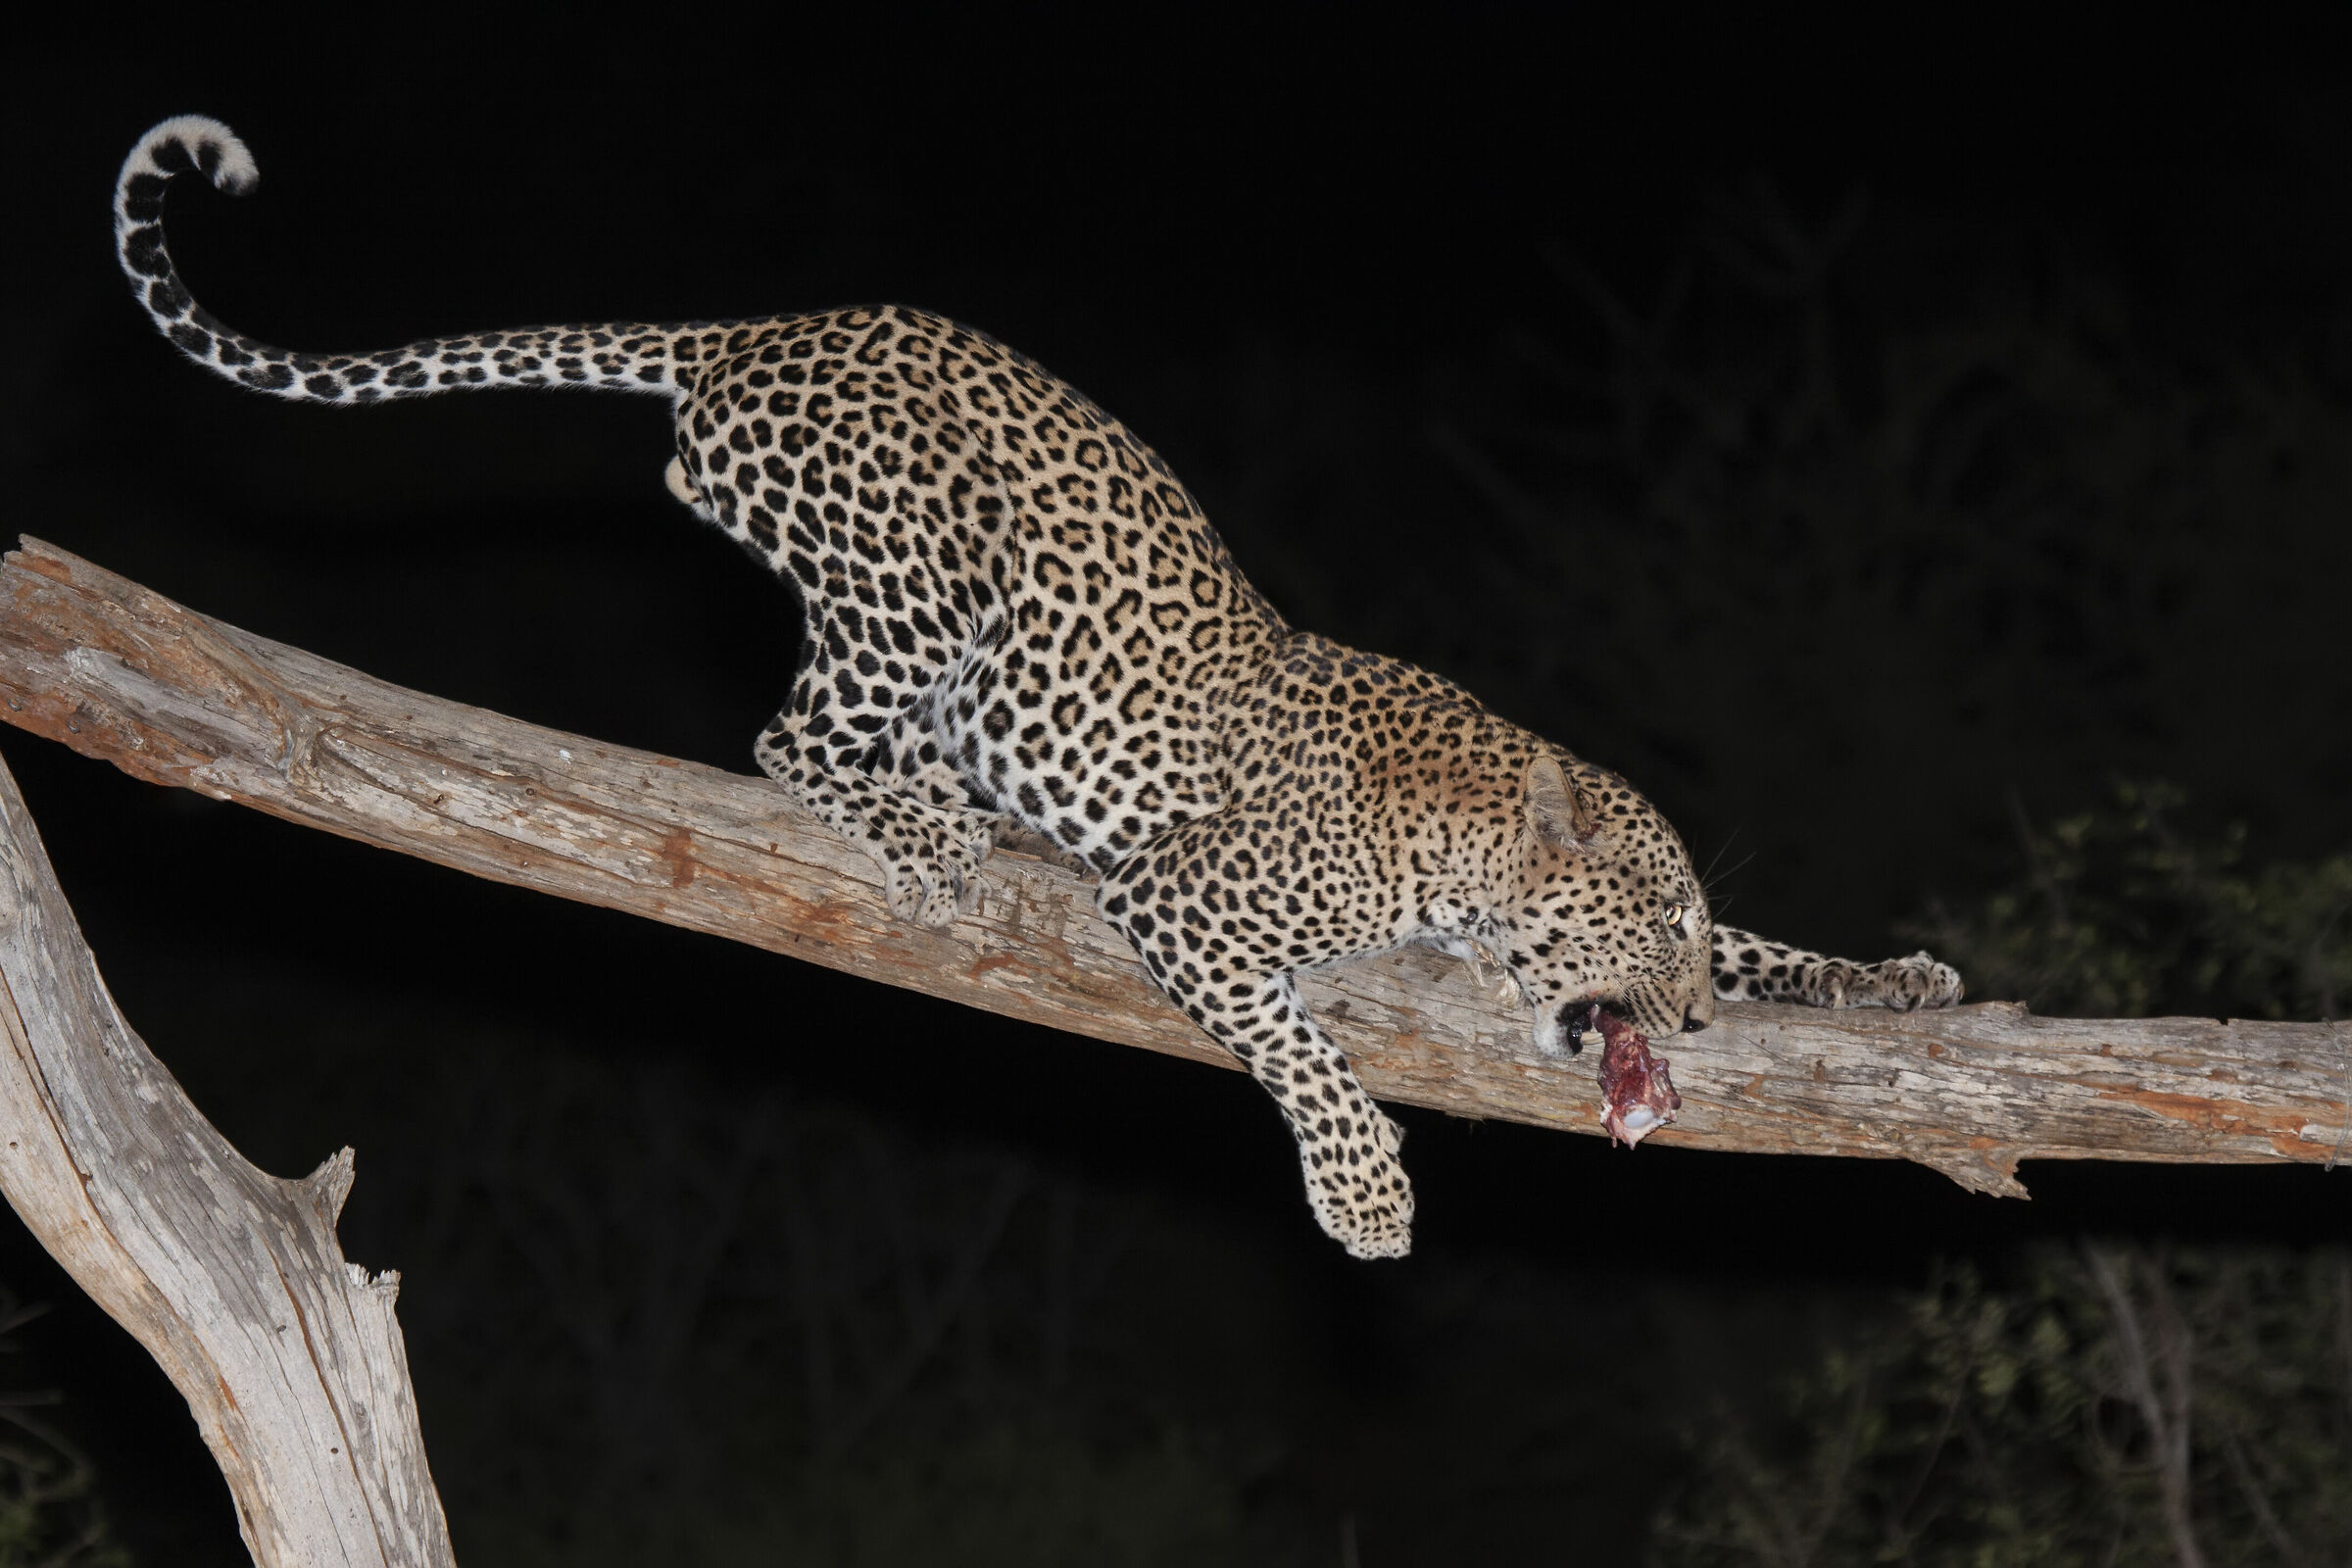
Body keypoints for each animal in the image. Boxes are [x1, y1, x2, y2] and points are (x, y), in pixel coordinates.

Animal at [114, 116, 1963, 1259]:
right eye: (1649, 929)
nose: (1699, 1028)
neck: (1465, 857)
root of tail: (756, 333)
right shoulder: (1192, 904)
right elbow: (1299, 1043)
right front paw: (1367, 1199)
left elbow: (1794, 943)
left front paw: (1899, 981)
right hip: (918, 579)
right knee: (788, 735)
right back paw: (933, 835)